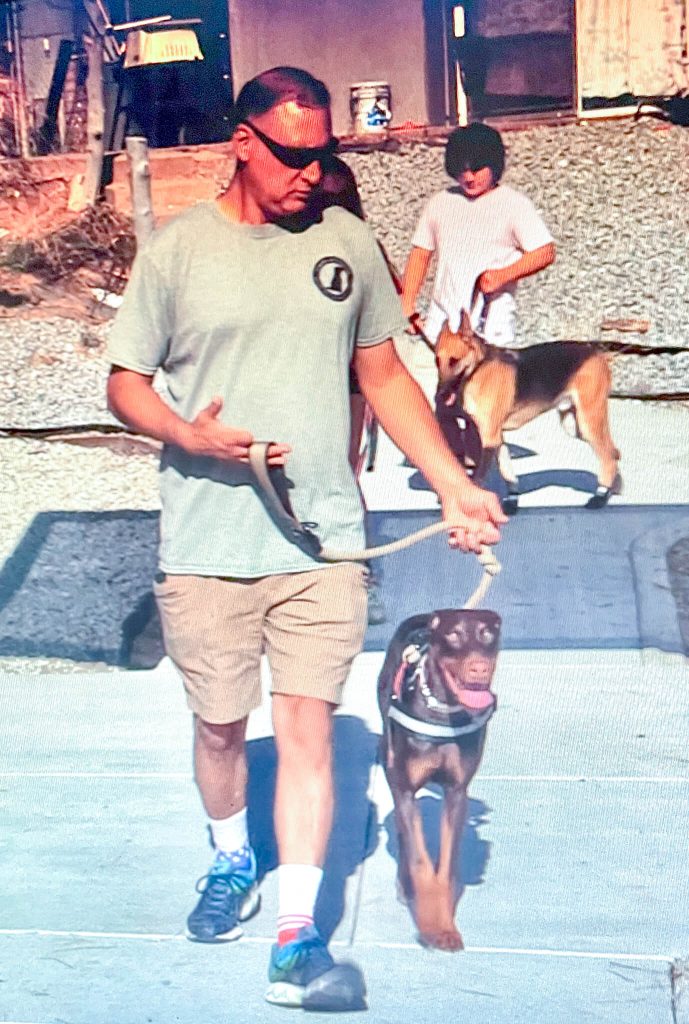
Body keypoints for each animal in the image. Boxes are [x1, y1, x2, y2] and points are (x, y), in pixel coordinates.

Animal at [376, 606, 499, 950]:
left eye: (488, 634)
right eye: (454, 635)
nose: (480, 668)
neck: (444, 711)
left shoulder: (457, 791)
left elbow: (446, 864)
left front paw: (444, 925)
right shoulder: (405, 788)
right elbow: (420, 860)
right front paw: (431, 927)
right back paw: (405, 886)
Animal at [436, 311, 622, 516]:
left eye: (454, 361)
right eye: (437, 361)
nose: (439, 395)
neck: (479, 368)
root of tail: (596, 353)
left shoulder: (489, 439)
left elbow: (477, 479)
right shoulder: (497, 439)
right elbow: (507, 471)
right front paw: (512, 500)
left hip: (588, 423)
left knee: (608, 457)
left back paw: (600, 496)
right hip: (575, 426)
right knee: (614, 452)